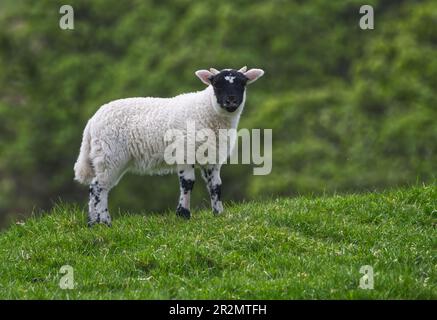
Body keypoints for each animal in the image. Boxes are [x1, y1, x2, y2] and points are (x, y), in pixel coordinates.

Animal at [73, 65, 264, 225]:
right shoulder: (185, 152)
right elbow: (187, 183)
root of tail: (92, 122)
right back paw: (104, 222)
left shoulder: (212, 158)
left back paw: (94, 223)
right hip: (110, 155)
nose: (231, 101)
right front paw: (183, 214)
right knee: (98, 187)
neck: (206, 111)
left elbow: (215, 186)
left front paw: (219, 213)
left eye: (242, 83)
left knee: (98, 187)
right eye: (216, 84)